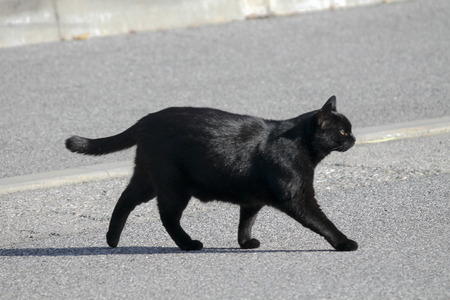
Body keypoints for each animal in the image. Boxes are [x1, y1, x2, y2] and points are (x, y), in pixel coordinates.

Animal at [65, 96, 356, 251]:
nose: (353, 138)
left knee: (125, 199)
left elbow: (246, 221)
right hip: (173, 186)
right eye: (342, 131)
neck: (300, 145)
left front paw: (245, 243)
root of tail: (147, 119)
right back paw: (188, 244)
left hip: (148, 178)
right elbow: (322, 222)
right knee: (167, 217)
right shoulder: (297, 197)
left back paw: (112, 239)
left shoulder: (253, 199)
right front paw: (344, 242)